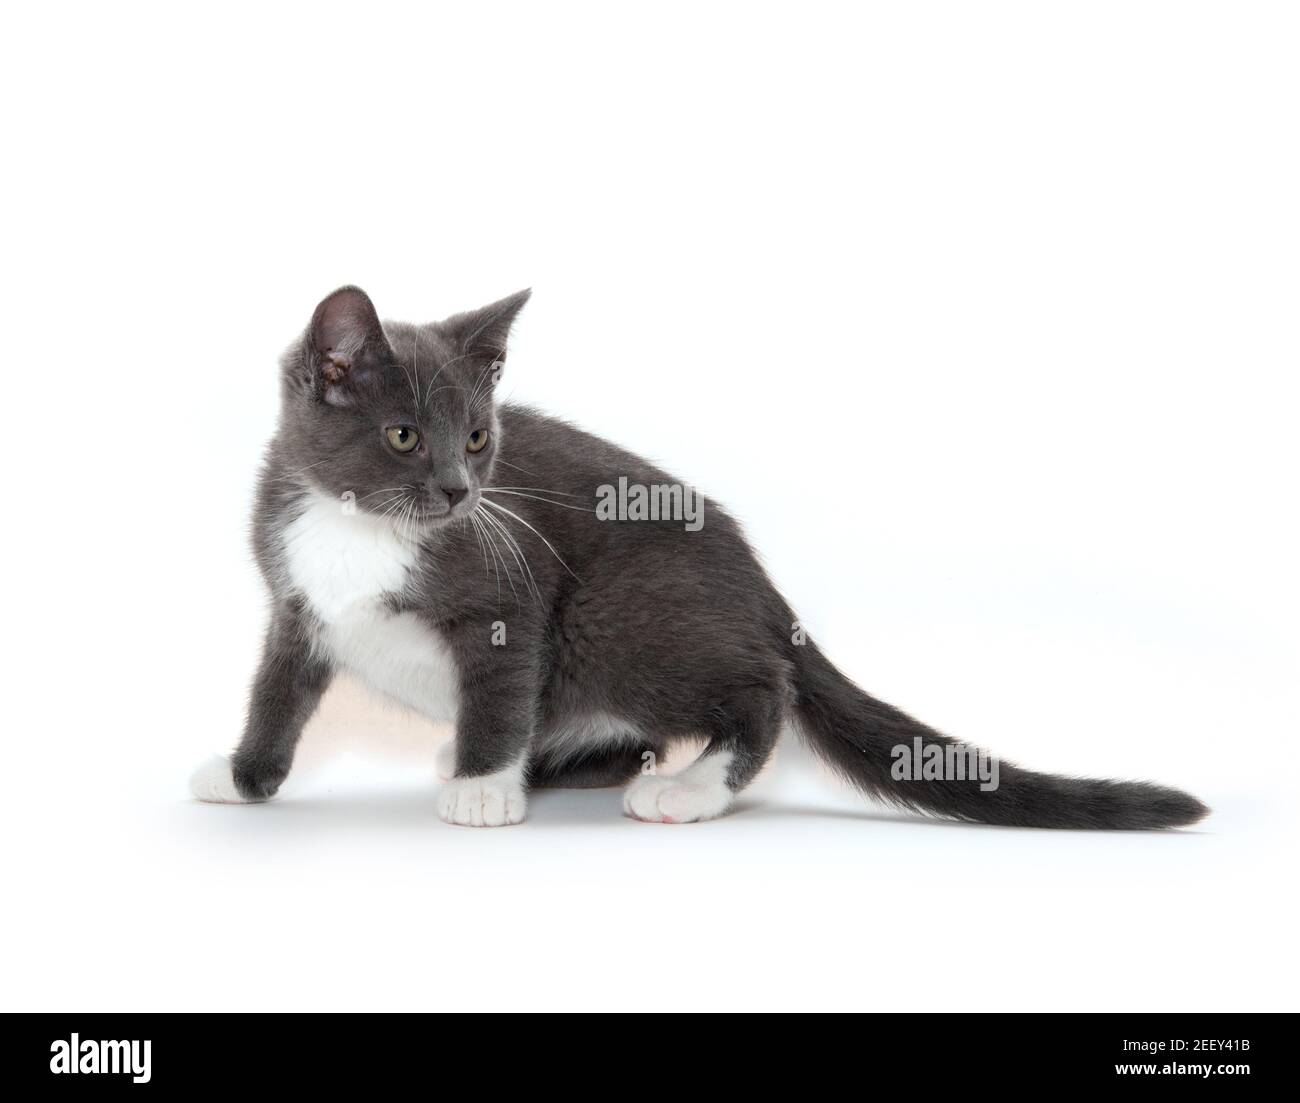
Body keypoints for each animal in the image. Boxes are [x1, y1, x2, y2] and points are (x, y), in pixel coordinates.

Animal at [189, 284, 1206, 827]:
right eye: (404, 435)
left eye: (477, 437)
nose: (460, 492)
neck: (357, 527)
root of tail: (765, 590)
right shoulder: (295, 601)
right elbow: (277, 696)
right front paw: (243, 778)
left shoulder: (510, 597)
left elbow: (501, 685)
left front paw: (484, 789)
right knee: (617, 734)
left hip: (614, 612)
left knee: (759, 689)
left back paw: (688, 787)